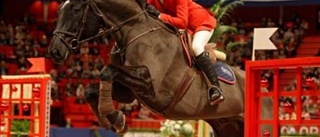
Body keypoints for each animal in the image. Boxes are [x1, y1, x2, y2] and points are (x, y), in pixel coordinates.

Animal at [47, 0, 272, 136]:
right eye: (58, 10)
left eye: (76, 10)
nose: (54, 52)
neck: (133, 30)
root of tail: (266, 86)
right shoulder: (129, 91)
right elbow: (90, 89)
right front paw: (115, 120)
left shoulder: (150, 85)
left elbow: (107, 71)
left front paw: (115, 118)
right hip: (229, 127)